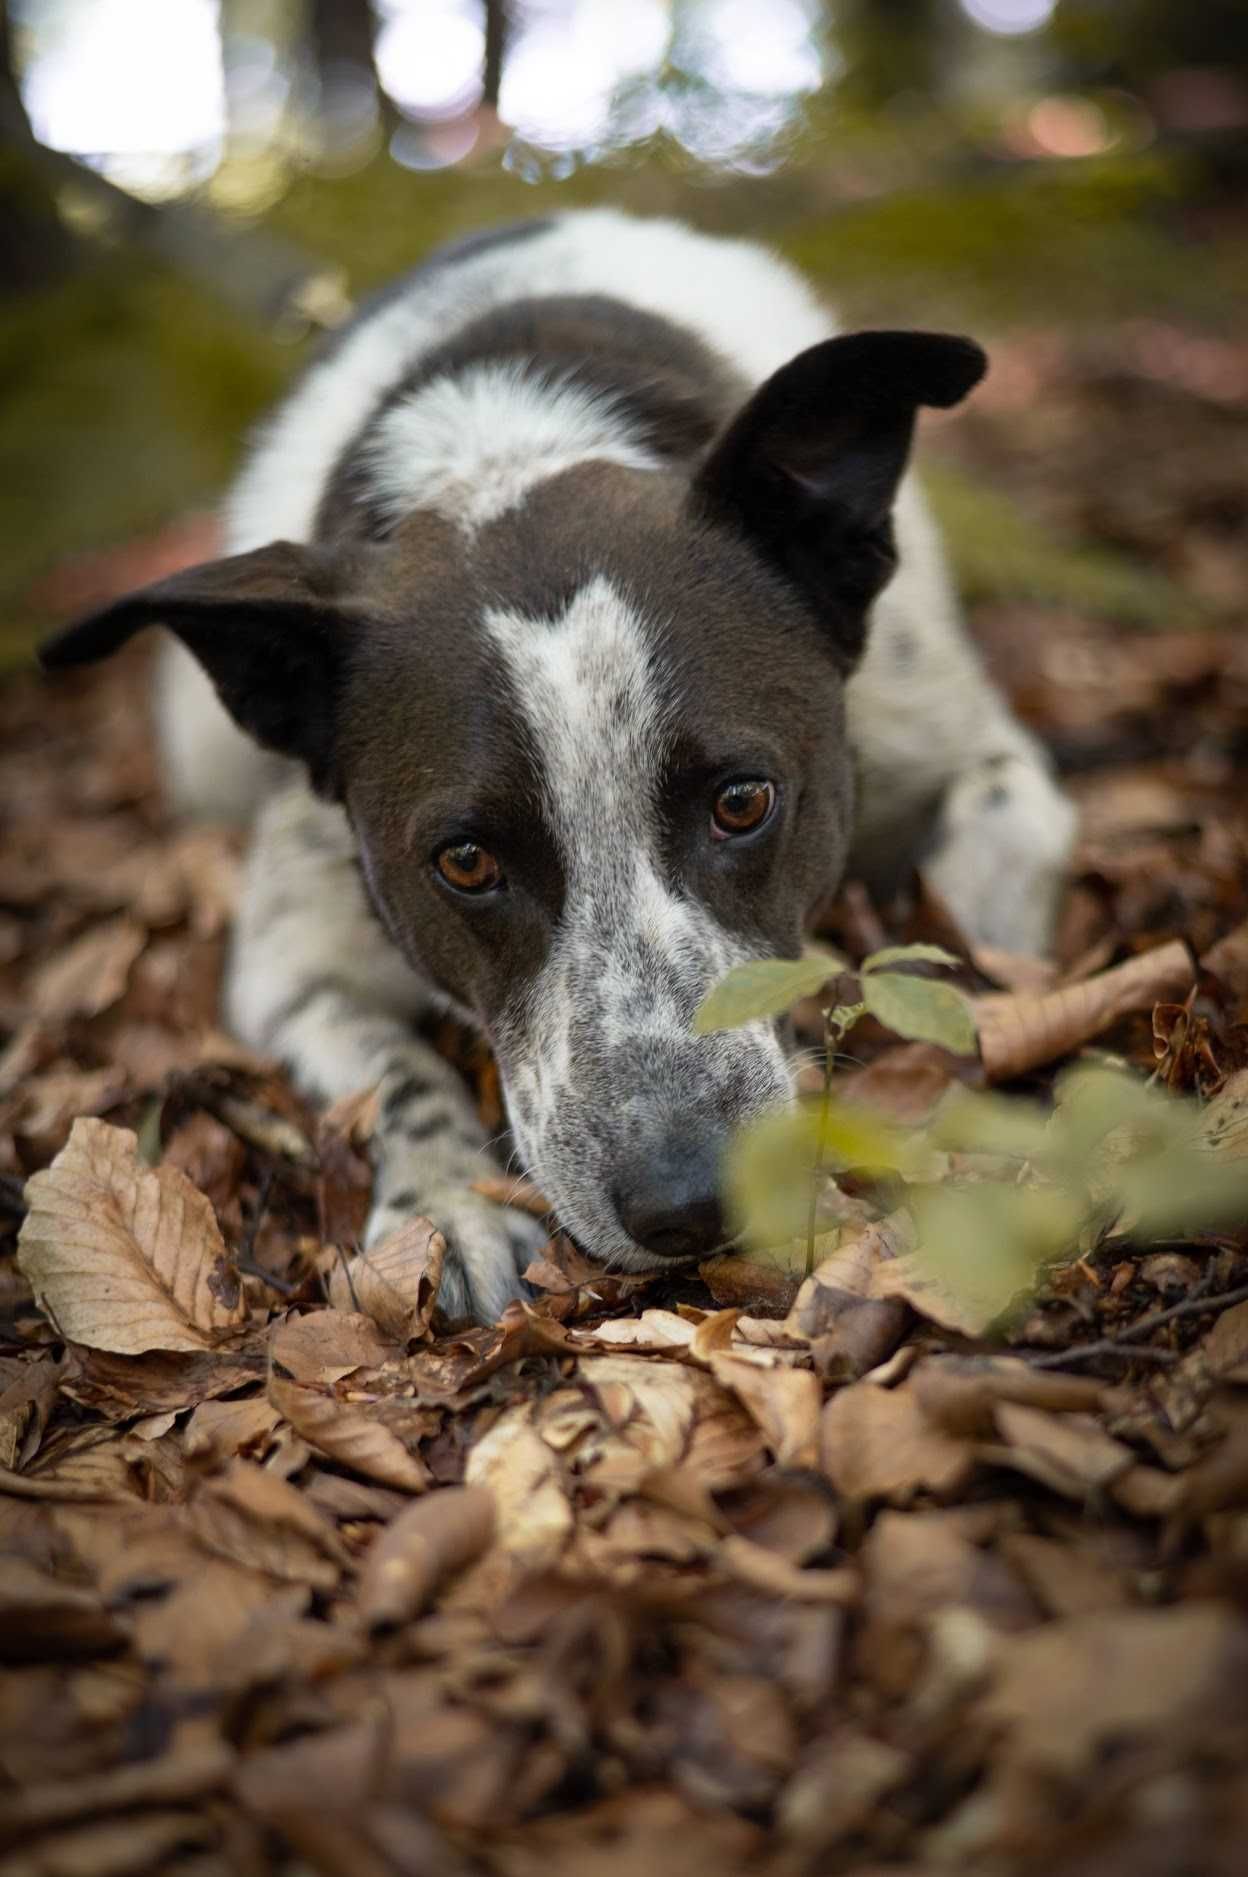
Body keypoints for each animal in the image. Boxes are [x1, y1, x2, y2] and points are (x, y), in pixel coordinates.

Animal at [38, 209, 1073, 1321]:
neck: (505, 446)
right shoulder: (288, 959)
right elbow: (395, 1069)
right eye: (464, 862)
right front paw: (450, 1207)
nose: (688, 1203)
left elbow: (993, 868)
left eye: (743, 801)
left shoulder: (956, 740)